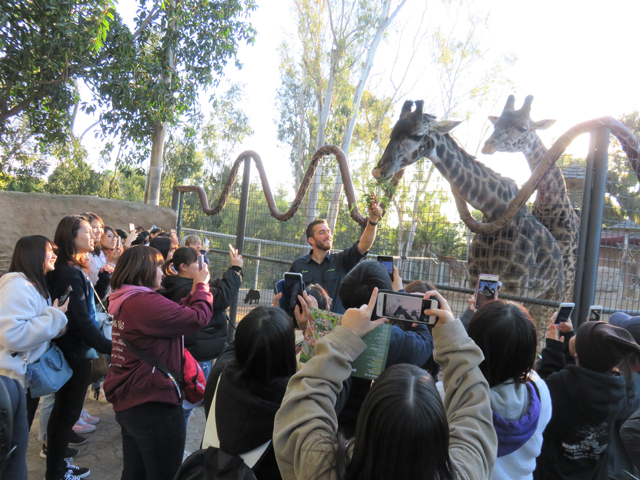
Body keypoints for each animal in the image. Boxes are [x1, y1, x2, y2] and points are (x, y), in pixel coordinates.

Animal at [372, 99, 564, 344]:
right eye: (392, 132)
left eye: (418, 135)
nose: (379, 170)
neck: (493, 209)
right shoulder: (475, 277)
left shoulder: (516, 285)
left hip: (551, 296)